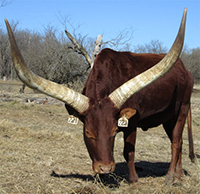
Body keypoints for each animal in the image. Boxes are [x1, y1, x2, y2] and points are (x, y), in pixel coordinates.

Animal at [4, 7, 195, 183]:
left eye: (114, 131)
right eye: (88, 133)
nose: (105, 168)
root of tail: (185, 70)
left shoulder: (131, 121)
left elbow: (129, 151)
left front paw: (133, 180)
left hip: (183, 109)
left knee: (176, 142)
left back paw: (170, 177)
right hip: (168, 117)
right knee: (179, 142)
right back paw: (178, 176)